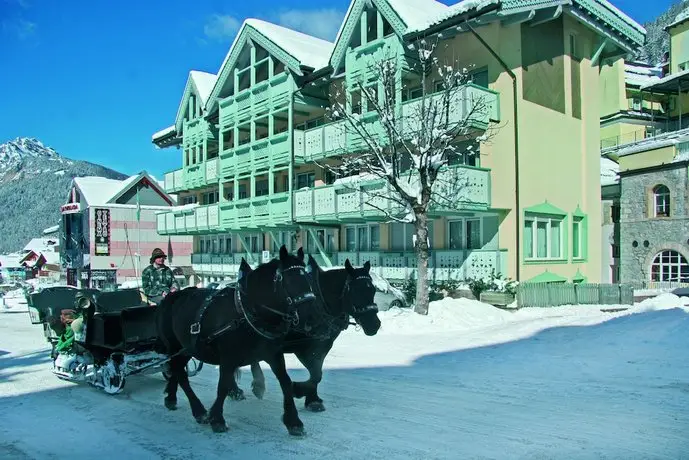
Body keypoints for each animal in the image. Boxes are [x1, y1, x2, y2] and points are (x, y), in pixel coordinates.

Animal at [155, 244, 314, 434]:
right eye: (289, 280)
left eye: (308, 278)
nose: (310, 318)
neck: (248, 312)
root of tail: (172, 296)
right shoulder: (228, 356)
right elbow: (223, 384)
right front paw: (217, 418)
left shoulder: (273, 353)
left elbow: (285, 381)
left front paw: (293, 421)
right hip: (176, 346)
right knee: (180, 373)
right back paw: (198, 410)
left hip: (186, 348)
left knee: (176, 370)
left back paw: (171, 397)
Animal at [234, 256, 378, 412]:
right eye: (356, 291)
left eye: (373, 290)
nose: (375, 325)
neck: (320, 304)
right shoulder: (300, 346)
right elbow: (315, 373)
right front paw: (298, 389)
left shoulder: (323, 344)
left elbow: (317, 372)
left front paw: (311, 398)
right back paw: (240, 389)